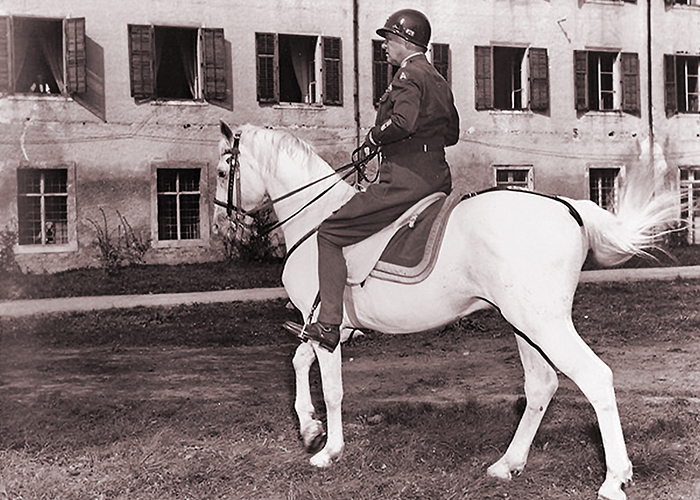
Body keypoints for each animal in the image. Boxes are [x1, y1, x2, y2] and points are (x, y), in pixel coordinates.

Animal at [213, 122, 680, 500]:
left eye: (220, 173)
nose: (220, 228)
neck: (316, 220)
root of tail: (566, 206)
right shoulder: (329, 327)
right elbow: (298, 360)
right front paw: (309, 429)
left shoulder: (327, 327)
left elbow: (332, 389)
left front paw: (328, 451)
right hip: (524, 325)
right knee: (541, 385)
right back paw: (508, 464)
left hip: (544, 324)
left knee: (595, 378)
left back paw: (614, 479)